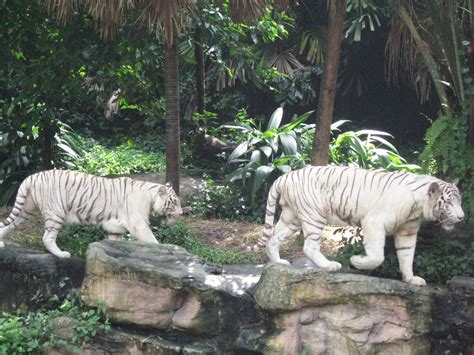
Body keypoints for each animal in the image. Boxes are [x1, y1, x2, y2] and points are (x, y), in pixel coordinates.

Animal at [0, 170, 183, 258]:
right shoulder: (138, 225)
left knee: (10, 224)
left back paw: (1, 243)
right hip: (55, 212)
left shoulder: (115, 228)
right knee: (47, 237)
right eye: (174, 202)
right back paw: (62, 254)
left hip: (26, 209)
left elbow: (114, 241)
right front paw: (165, 251)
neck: (150, 195)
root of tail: (32, 176)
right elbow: (153, 241)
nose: (182, 213)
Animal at [260, 166, 462, 286]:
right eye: (448, 203)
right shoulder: (374, 222)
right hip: (314, 214)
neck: (419, 206)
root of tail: (284, 176)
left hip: (291, 217)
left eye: (459, 201)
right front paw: (357, 261)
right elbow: (377, 256)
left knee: (274, 238)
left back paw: (278, 261)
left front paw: (411, 279)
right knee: (309, 246)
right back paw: (330, 265)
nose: (462, 217)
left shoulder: (407, 231)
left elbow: (406, 256)